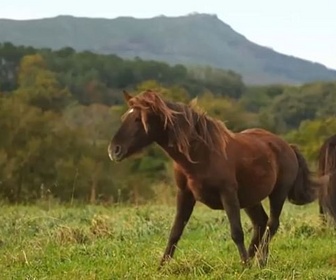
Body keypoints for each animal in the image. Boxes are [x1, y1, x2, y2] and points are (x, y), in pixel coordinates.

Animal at [109, 89, 322, 266]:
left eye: (139, 119)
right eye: (125, 116)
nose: (114, 150)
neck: (201, 154)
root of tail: (287, 146)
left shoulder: (228, 194)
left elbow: (236, 232)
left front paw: (244, 267)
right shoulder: (185, 194)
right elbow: (175, 232)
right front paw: (162, 266)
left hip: (277, 193)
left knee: (272, 224)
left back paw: (259, 261)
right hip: (250, 199)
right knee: (260, 223)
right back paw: (254, 260)